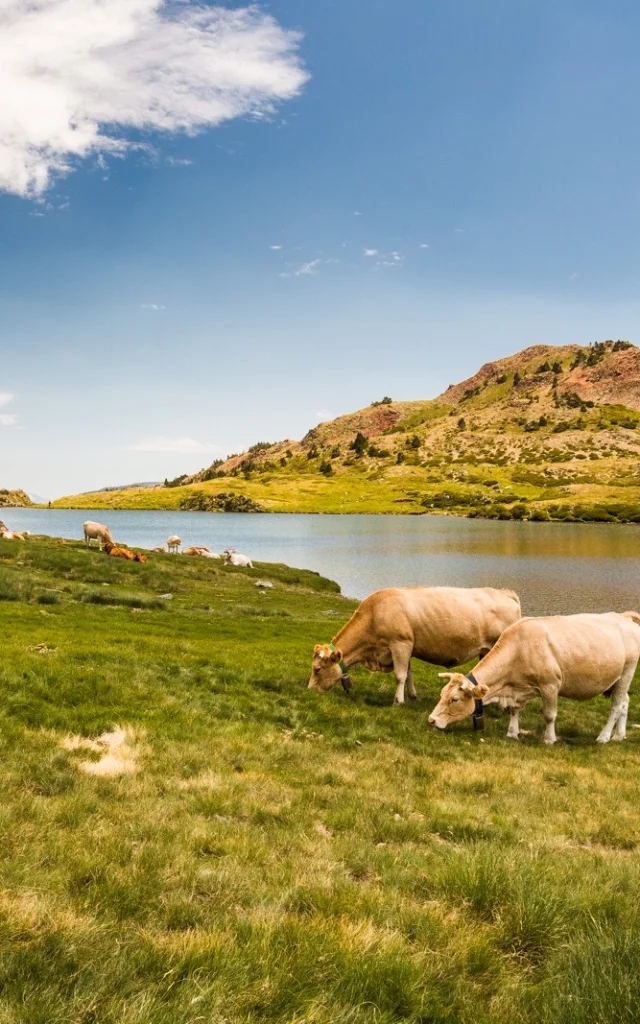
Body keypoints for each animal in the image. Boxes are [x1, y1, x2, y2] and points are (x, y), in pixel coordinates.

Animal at [308, 586, 521, 705]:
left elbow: (400, 675)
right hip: (485, 651)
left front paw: (398, 701)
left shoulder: (400, 643)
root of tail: (504, 593)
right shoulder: (405, 648)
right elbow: (409, 673)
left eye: (317, 669)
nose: (309, 690)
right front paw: (412, 696)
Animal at [428, 611, 640, 744]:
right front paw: (512, 733)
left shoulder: (550, 685)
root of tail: (623, 616)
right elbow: (514, 710)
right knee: (625, 702)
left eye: (454, 699)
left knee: (616, 706)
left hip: (627, 673)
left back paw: (604, 737)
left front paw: (549, 739)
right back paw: (619, 736)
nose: (431, 720)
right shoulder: (516, 688)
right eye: (441, 694)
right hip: (616, 679)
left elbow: (549, 715)